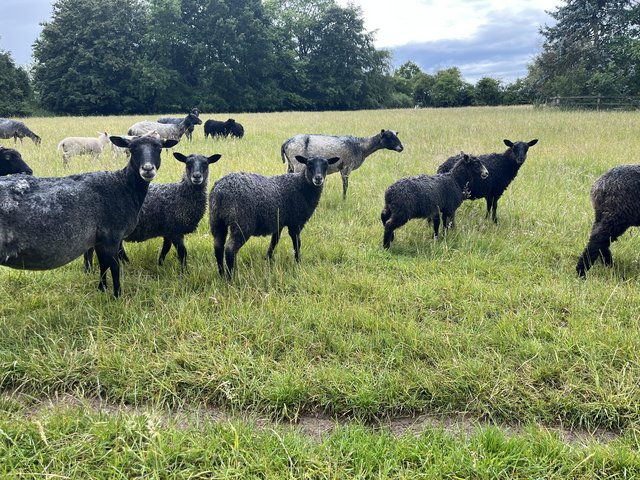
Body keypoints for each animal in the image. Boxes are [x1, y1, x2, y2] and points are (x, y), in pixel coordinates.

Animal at [0, 135, 178, 297]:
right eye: (132, 149)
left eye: (159, 148)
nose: (147, 169)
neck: (123, 186)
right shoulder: (112, 236)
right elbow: (114, 267)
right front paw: (117, 295)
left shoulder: (99, 239)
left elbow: (103, 265)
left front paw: (102, 289)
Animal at [84, 151, 222, 270]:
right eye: (188, 163)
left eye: (206, 163)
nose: (197, 176)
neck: (180, 194)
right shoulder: (176, 229)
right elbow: (182, 253)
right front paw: (185, 272)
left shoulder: (168, 230)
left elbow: (166, 248)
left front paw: (160, 264)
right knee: (92, 250)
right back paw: (90, 269)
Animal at [210, 154, 340, 278]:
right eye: (309, 164)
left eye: (326, 164)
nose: (318, 178)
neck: (301, 185)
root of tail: (221, 191)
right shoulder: (295, 222)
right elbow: (297, 244)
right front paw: (298, 263)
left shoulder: (279, 221)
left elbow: (274, 241)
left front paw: (268, 260)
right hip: (242, 222)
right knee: (230, 249)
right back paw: (230, 277)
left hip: (217, 221)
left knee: (218, 247)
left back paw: (221, 274)